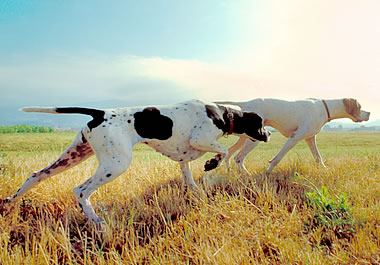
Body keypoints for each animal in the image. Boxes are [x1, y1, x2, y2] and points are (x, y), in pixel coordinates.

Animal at [7, 99, 272, 225]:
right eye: (260, 123)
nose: (269, 134)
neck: (220, 112)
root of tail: (100, 113)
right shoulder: (201, 139)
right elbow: (224, 151)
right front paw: (211, 164)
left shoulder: (184, 157)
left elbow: (190, 179)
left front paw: (199, 192)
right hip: (116, 164)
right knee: (80, 190)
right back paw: (98, 223)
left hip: (73, 156)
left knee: (35, 175)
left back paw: (10, 204)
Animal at [215, 98, 370, 172]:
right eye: (360, 107)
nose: (369, 113)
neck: (325, 107)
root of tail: (246, 103)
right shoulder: (295, 137)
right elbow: (276, 159)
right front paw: (268, 173)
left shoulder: (310, 139)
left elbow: (318, 158)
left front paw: (325, 170)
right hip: (254, 139)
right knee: (238, 158)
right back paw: (248, 176)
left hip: (244, 138)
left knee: (229, 153)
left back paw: (230, 171)